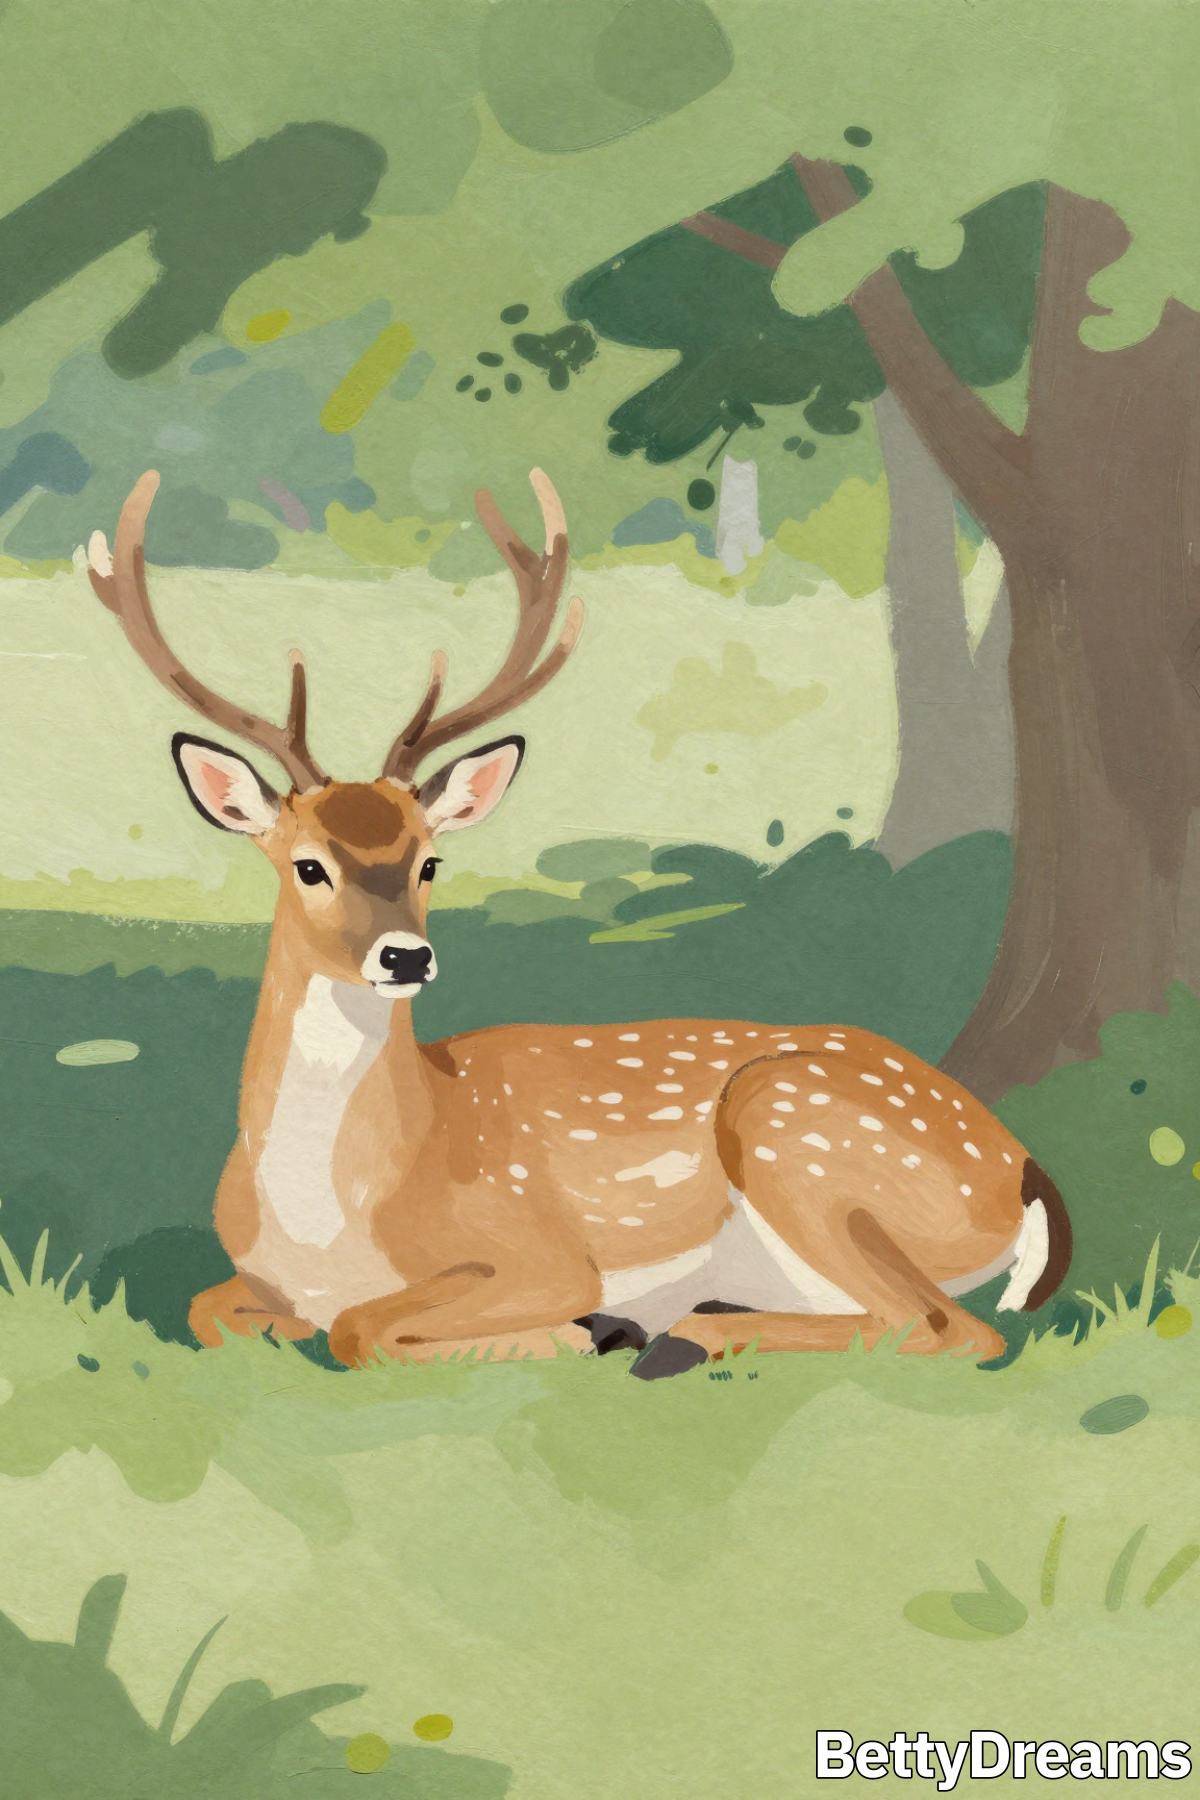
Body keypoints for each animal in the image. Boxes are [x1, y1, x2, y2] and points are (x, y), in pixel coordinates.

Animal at [85, 467, 1071, 1379]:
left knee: (952, 1327)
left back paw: (669, 1336)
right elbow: (213, 1311)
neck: (332, 1222)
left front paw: (588, 1329)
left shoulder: (537, 1250)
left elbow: (364, 1329)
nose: (405, 957)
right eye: (308, 865)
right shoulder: (250, 1281)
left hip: (797, 1130)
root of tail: (1021, 1171)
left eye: (429, 861)